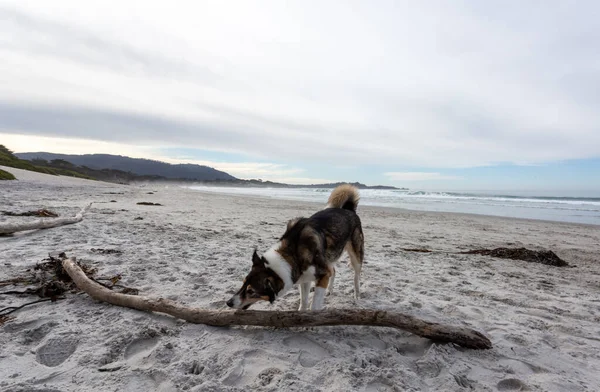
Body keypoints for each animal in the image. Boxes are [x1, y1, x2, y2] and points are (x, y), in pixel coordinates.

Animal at [226, 185, 364, 310]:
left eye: (251, 291)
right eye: (243, 284)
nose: (228, 303)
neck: (293, 253)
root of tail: (348, 209)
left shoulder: (322, 275)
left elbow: (314, 307)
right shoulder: (306, 278)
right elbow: (303, 302)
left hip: (356, 255)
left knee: (356, 276)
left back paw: (357, 295)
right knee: (334, 270)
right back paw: (330, 290)